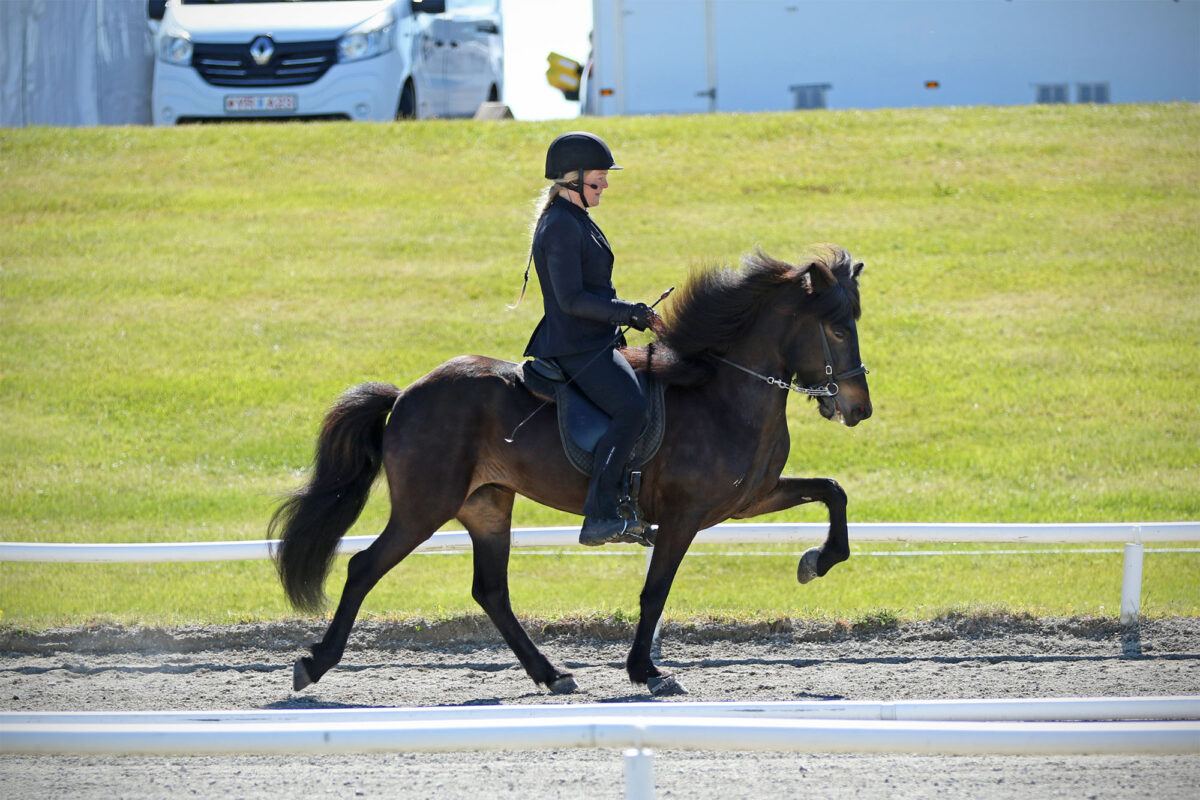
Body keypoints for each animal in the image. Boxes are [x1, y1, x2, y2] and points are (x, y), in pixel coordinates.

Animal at [272, 244, 873, 695]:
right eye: (839, 330)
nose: (859, 409)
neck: (724, 391)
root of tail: (404, 396)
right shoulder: (683, 517)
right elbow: (656, 591)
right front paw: (646, 671)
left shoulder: (750, 498)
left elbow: (832, 491)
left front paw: (817, 561)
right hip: (425, 506)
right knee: (364, 568)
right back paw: (314, 664)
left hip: (487, 505)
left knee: (491, 591)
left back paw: (552, 673)